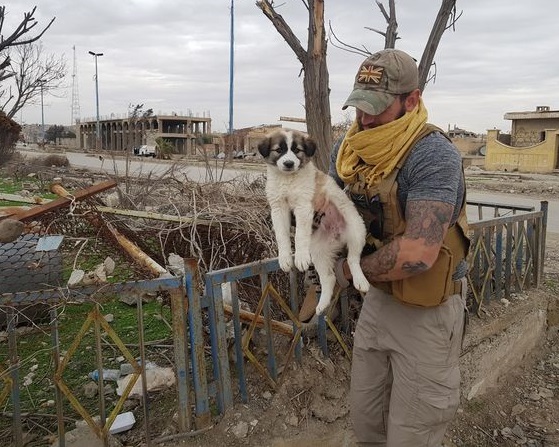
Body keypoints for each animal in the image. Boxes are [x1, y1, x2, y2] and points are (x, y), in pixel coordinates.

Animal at [260, 128, 372, 316]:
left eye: (297, 150)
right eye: (279, 150)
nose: (289, 163)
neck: (288, 180)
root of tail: (337, 235)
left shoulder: (304, 205)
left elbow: (300, 235)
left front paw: (300, 257)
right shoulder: (278, 208)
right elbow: (281, 236)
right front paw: (285, 258)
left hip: (357, 229)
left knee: (353, 260)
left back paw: (360, 281)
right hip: (319, 251)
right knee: (329, 277)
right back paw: (322, 305)